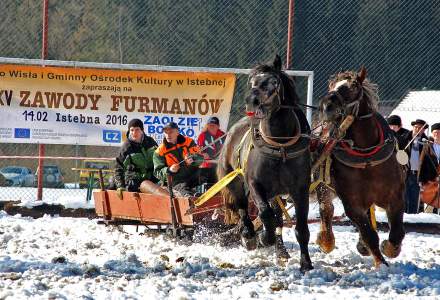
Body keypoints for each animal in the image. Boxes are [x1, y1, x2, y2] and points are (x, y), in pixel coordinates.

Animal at [316, 67, 406, 268]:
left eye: (354, 86)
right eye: (331, 86)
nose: (327, 105)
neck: (366, 155)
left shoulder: (395, 196)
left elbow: (397, 231)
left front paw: (390, 248)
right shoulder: (352, 203)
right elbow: (369, 234)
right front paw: (381, 264)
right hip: (323, 185)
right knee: (326, 209)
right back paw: (326, 240)